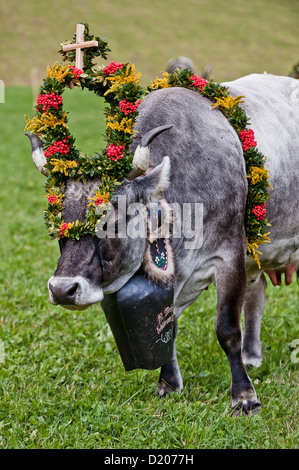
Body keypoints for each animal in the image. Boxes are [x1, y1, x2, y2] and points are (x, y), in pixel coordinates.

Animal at [26, 72, 299, 414]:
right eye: (56, 224)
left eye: (111, 219)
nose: (63, 289)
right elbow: (169, 328)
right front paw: (168, 384)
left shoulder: (229, 257)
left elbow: (226, 329)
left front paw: (244, 396)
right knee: (256, 291)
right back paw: (252, 356)